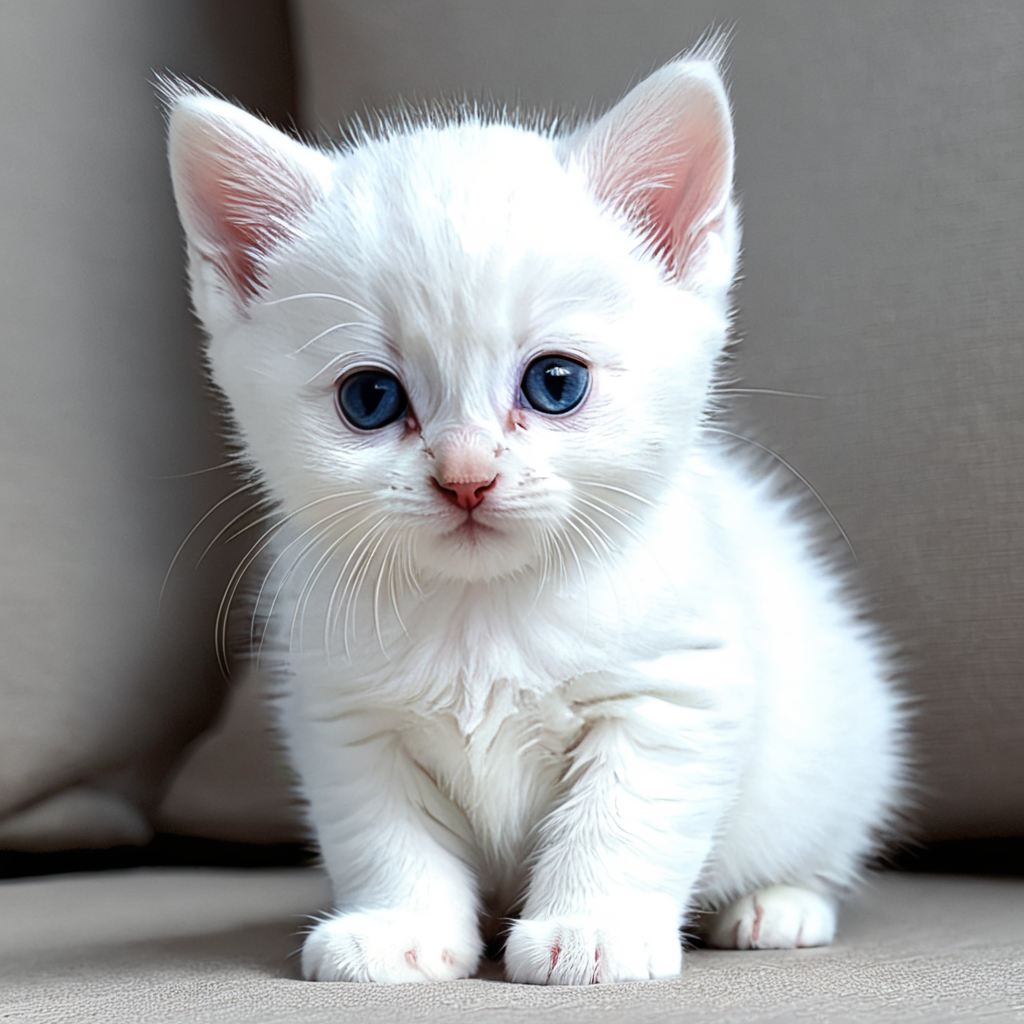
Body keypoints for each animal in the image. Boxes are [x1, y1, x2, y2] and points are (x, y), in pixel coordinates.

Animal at [165, 54, 905, 983]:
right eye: (369, 399)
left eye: (556, 384)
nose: (466, 477)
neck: (483, 613)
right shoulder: (349, 719)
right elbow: (387, 834)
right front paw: (400, 928)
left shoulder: (670, 693)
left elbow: (621, 818)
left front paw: (594, 927)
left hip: (846, 743)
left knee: (820, 843)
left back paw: (778, 904)